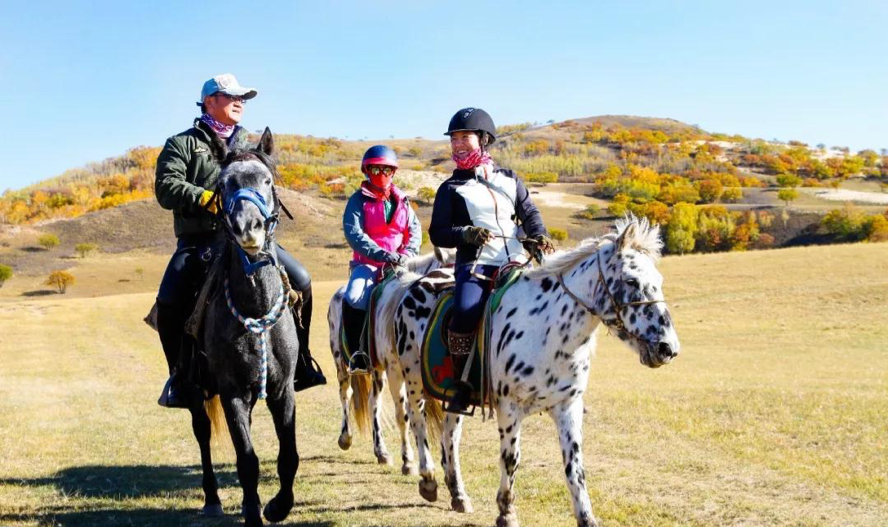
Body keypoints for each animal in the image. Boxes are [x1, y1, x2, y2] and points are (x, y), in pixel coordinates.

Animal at [186, 129, 300, 527]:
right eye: (223, 184)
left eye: (266, 181)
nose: (247, 228)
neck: (256, 307)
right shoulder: (231, 391)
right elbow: (247, 458)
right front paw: (253, 512)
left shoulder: (283, 389)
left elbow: (288, 455)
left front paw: (279, 506)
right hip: (195, 391)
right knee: (202, 432)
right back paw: (211, 498)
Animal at [324, 248, 454, 474]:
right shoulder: (395, 371)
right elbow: (403, 416)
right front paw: (409, 461)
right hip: (342, 364)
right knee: (346, 395)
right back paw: (346, 438)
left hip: (377, 371)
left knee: (372, 403)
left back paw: (381, 451)